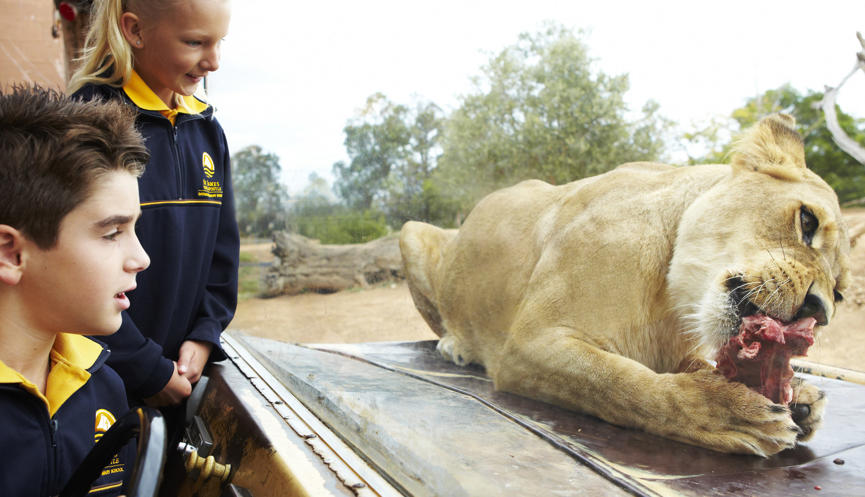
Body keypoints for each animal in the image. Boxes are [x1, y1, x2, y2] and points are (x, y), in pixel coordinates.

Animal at [399, 114, 851, 456]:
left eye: (840, 294)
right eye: (806, 221)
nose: (818, 310)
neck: (671, 301)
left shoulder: (676, 352)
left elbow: (693, 369)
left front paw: (799, 396)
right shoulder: (529, 342)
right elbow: (622, 384)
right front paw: (727, 412)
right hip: (410, 232)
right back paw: (455, 346)